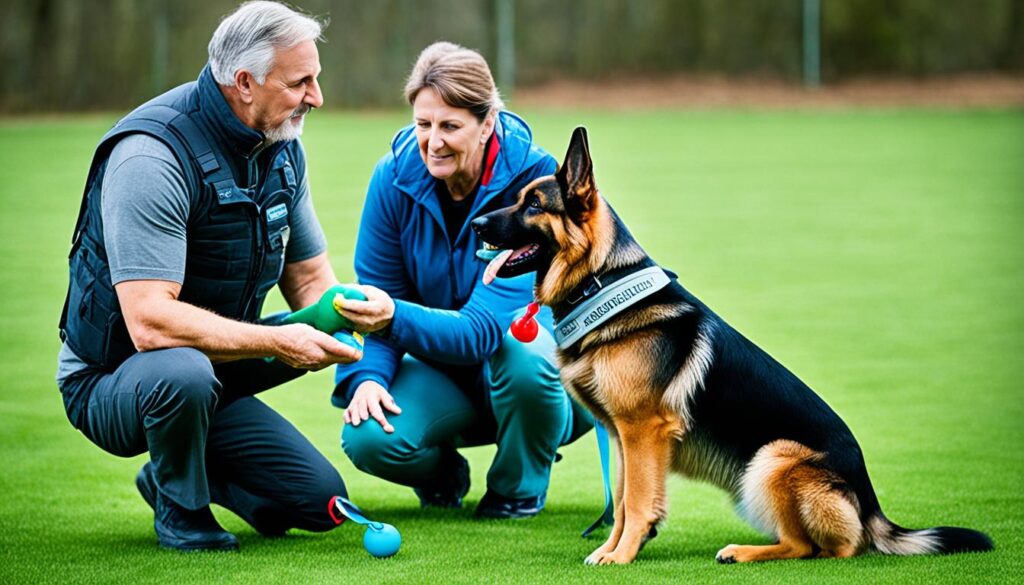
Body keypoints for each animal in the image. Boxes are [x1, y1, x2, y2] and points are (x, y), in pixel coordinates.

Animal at [468, 129, 991, 569]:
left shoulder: (642, 432)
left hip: (772, 458)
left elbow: (635, 501)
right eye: (518, 199)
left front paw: (621, 556)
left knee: (824, 548)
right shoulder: (620, 436)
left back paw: (744, 551)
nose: (475, 223)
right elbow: (621, 501)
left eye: (534, 204)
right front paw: (614, 548)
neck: (600, 280)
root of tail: (870, 504)